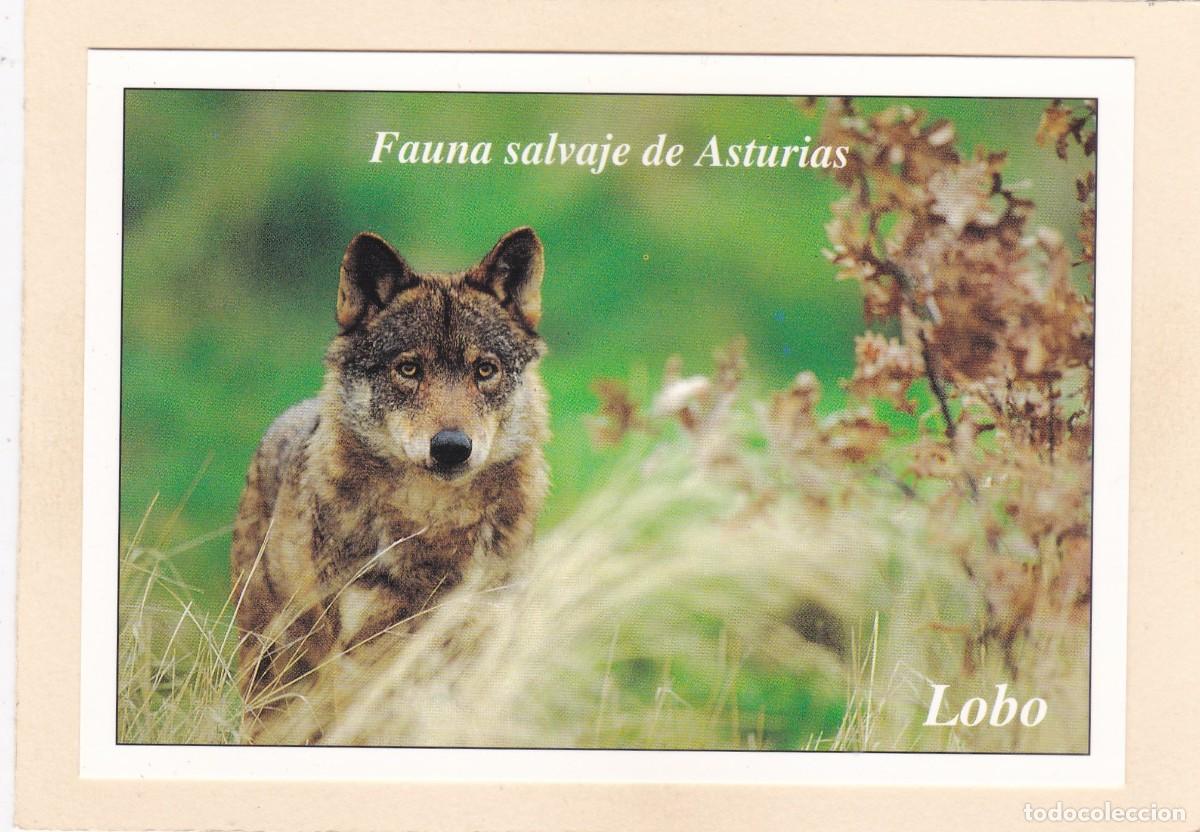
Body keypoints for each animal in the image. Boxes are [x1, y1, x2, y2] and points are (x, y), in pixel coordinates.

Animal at [229, 227, 550, 741]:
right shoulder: (364, 654)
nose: (452, 447)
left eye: (484, 370)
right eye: (409, 369)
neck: (433, 528)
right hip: (272, 672)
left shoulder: (479, 642)